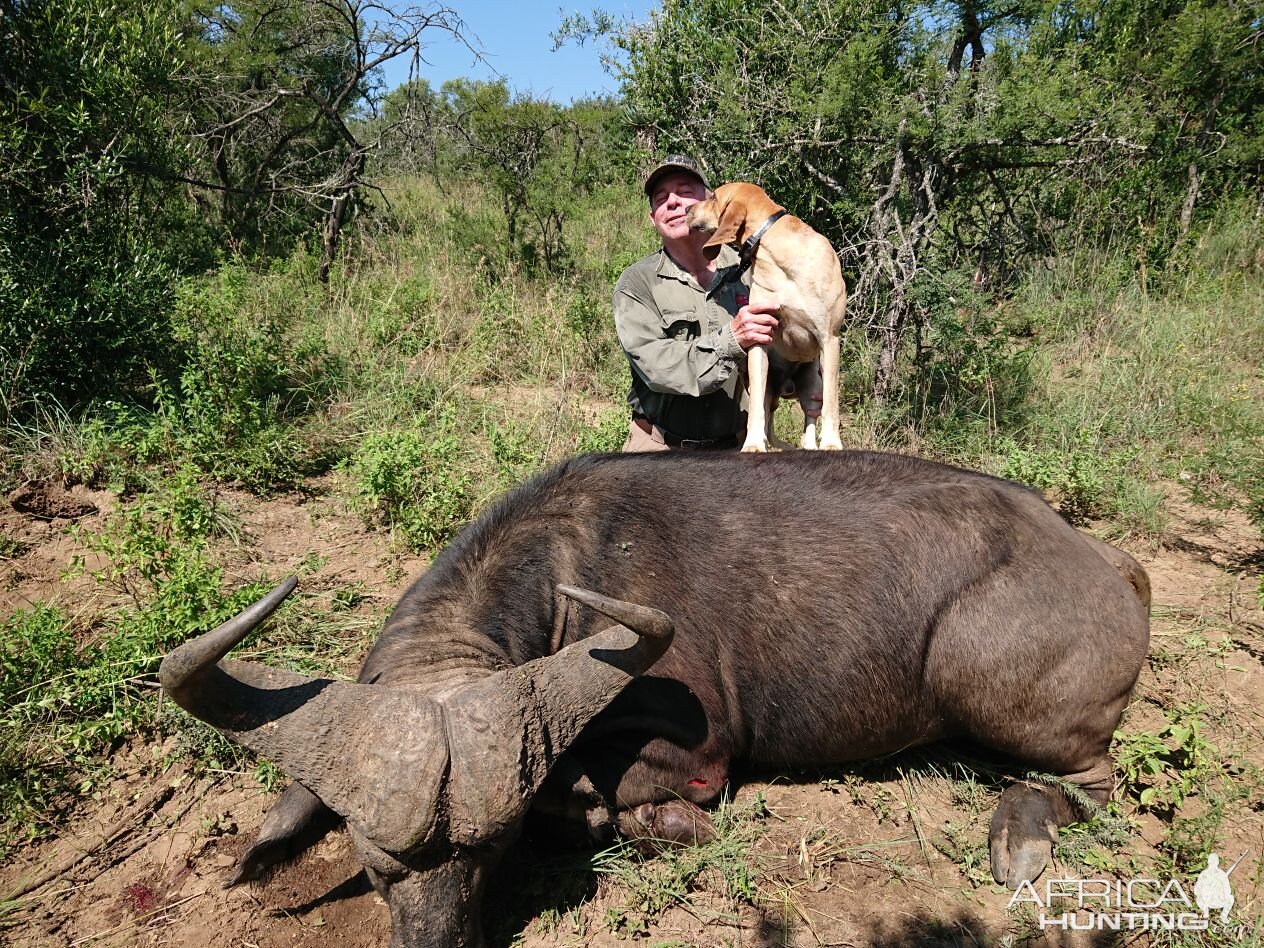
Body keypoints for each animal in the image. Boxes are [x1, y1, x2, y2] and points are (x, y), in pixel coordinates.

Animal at [158, 452, 1147, 948]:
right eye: (371, 867)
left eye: (492, 855)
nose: (437, 943)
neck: (566, 566)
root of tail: (1108, 561)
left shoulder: (693, 756)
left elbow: (610, 796)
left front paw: (633, 818)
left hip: (983, 687)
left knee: (1091, 783)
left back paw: (1019, 836)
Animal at [687, 187, 844, 455]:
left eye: (713, 196)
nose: (687, 209)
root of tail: (786, 386)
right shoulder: (758, 339)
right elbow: (756, 410)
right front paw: (752, 444)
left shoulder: (829, 338)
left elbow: (831, 404)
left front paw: (832, 443)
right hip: (768, 385)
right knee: (769, 416)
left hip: (812, 384)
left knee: (811, 416)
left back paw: (810, 445)